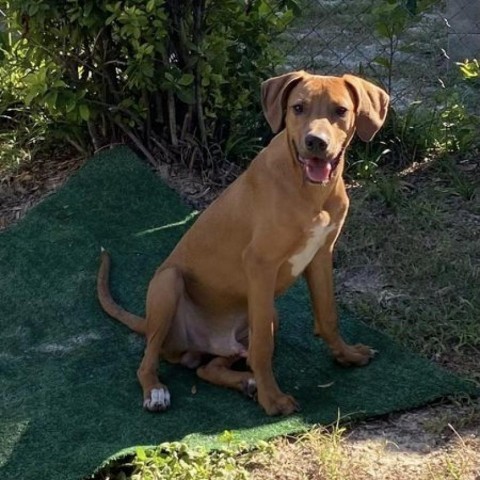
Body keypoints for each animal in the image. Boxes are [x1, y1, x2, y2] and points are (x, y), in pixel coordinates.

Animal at [97, 71, 390, 416]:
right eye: (298, 107)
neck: (309, 189)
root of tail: (201, 343)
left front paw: (347, 355)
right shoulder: (260, 264)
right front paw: (272, 399)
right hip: (168, 285)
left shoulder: (321, 254)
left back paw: (245, 381)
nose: (315, 142)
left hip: (265, 315)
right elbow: (262, 345)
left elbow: (328, 315)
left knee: (207, 367)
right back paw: (156, 391)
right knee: (148, 361)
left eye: (340, 111)